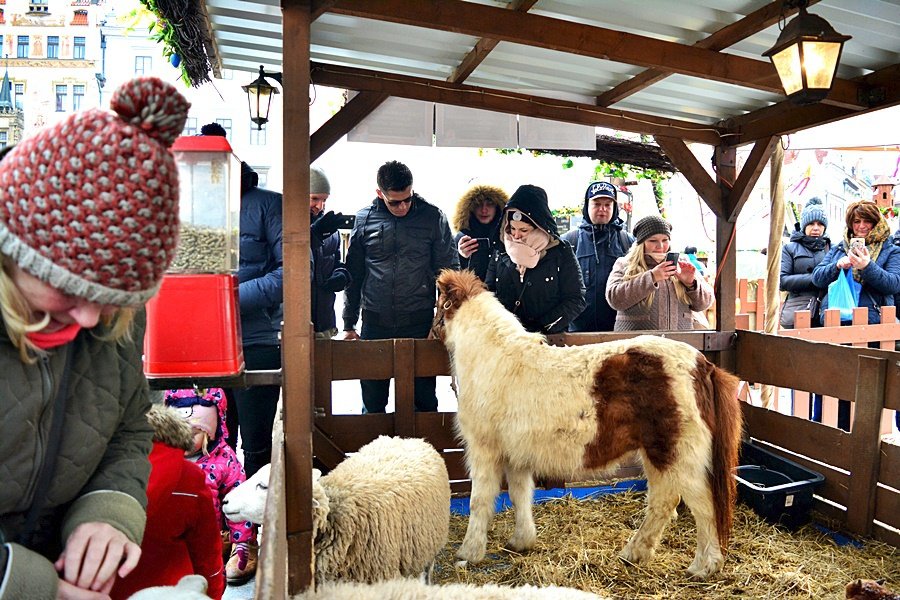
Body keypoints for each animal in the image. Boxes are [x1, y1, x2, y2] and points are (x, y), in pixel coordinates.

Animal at [432, 270, 740, 580]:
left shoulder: (484, 450)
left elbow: (480, 500)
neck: (493, 356)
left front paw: (469, 553)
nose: (431, 333)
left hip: (679, 457)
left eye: (439, 303)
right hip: (660, 456)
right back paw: (634, 553)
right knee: (663, 502)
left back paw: (703, 566)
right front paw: (521, 541)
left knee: (705, 507)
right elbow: (520, 495)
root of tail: (703, 365)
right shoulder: (516, 455)